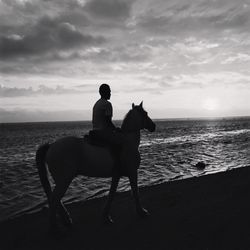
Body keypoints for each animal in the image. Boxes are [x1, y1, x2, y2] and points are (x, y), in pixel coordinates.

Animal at [36, 102, 155, 232]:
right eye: (145, 113)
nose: (153, 126)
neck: (127, 142)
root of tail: (51, 146)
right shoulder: (132, 172)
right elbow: (135, 192)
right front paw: (142, 212)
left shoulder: (116, 175)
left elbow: (111, 194)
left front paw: (106, 217)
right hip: (64, 180)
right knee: (54, 200)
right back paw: (55, 228)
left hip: (61, 180)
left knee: (55, 199)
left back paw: (66, 220)